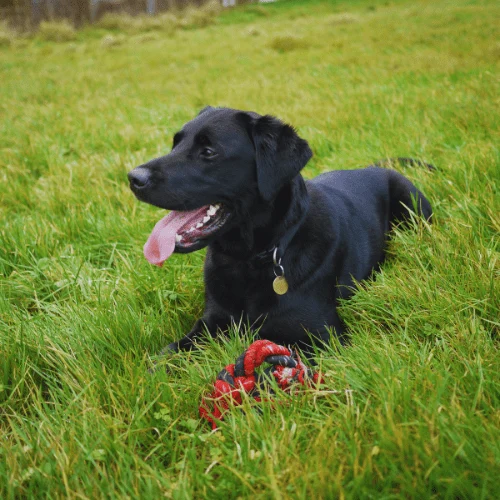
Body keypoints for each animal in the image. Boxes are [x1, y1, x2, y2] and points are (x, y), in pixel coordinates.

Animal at [128, 107, 430, 354]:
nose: (133, 178)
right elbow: (167, 353)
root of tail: (372, 167)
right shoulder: (211, 322)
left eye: (209, 152)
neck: (248, 260)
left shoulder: (324, 337)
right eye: (175, 144)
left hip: (411, 203)